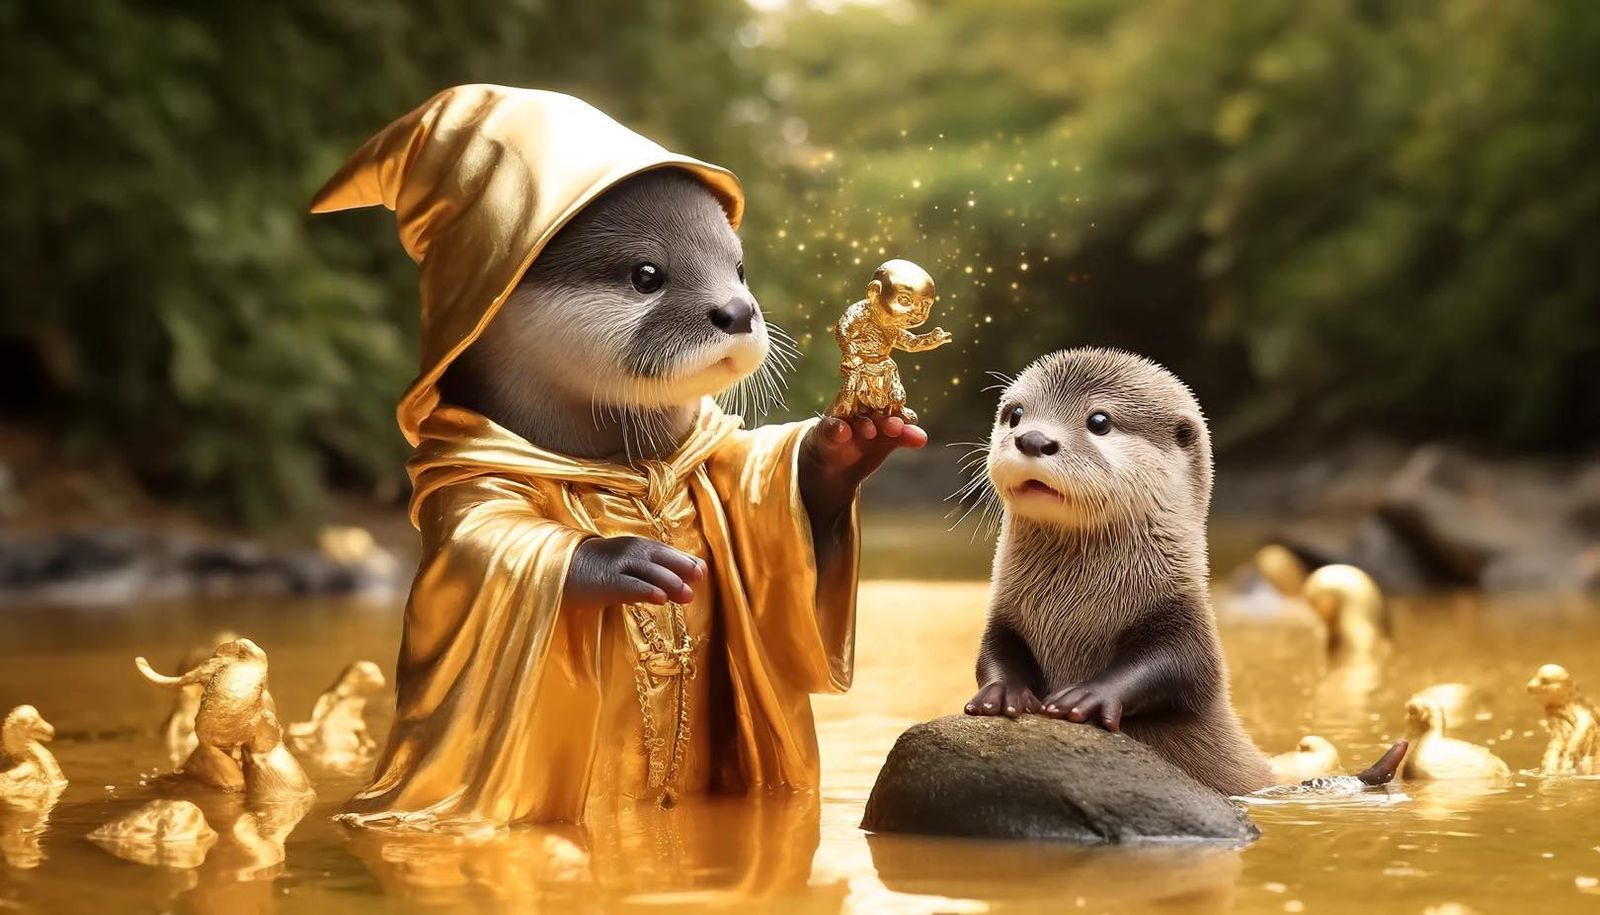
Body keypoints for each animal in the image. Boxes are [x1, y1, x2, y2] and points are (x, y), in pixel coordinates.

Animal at [964, 348, 1400, 796]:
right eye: (1015, 413)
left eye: (1099, 421)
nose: (1033, 439)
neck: (1076, 608)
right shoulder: (1006, 614)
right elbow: (993, 651)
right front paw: (1003, 692)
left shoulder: (1183, 615)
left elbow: (1181, 666)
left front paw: (1087, 696)